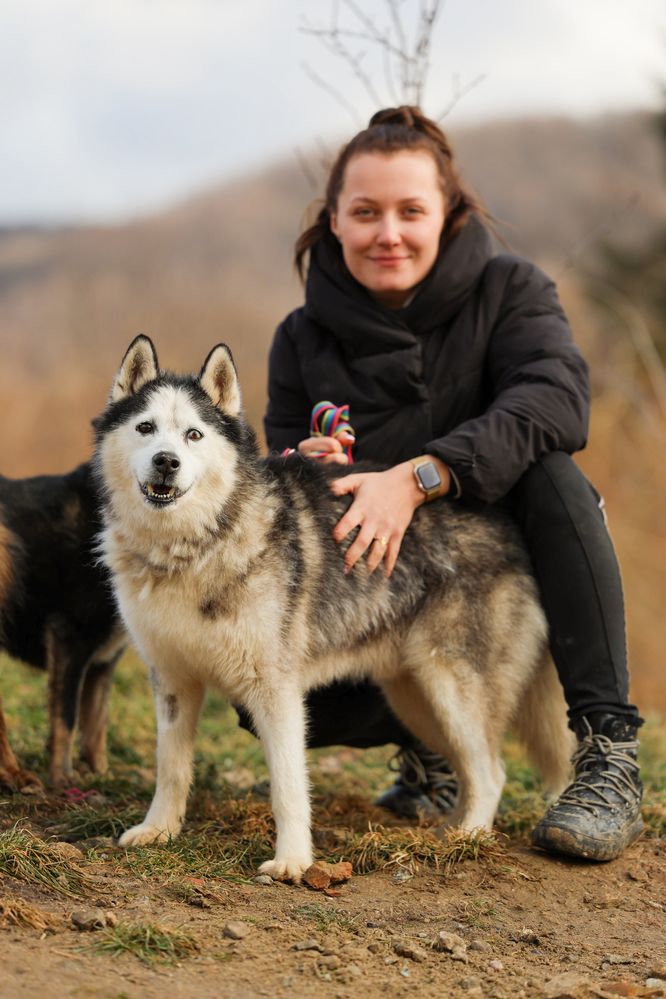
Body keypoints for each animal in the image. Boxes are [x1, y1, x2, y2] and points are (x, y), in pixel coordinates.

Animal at [0, 462, 126, 788]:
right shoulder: (70, 638)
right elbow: (66, 717)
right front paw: (63, 777)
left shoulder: (104, 659)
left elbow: (96, 724)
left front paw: (101, 776)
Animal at [93, 338, 572, 884]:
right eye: (145, 428)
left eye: (193, 434)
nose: (166, 462)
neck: (193, 549)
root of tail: (510, 530)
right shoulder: (172, 681)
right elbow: (171, 767)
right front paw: (159, 832)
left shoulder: (276, 692)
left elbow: (288, 786)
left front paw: (293, 861)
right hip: (418, 701)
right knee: (473, 769)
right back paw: (449, 829)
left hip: (453, 690)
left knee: (491, 772)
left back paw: (469, 839)